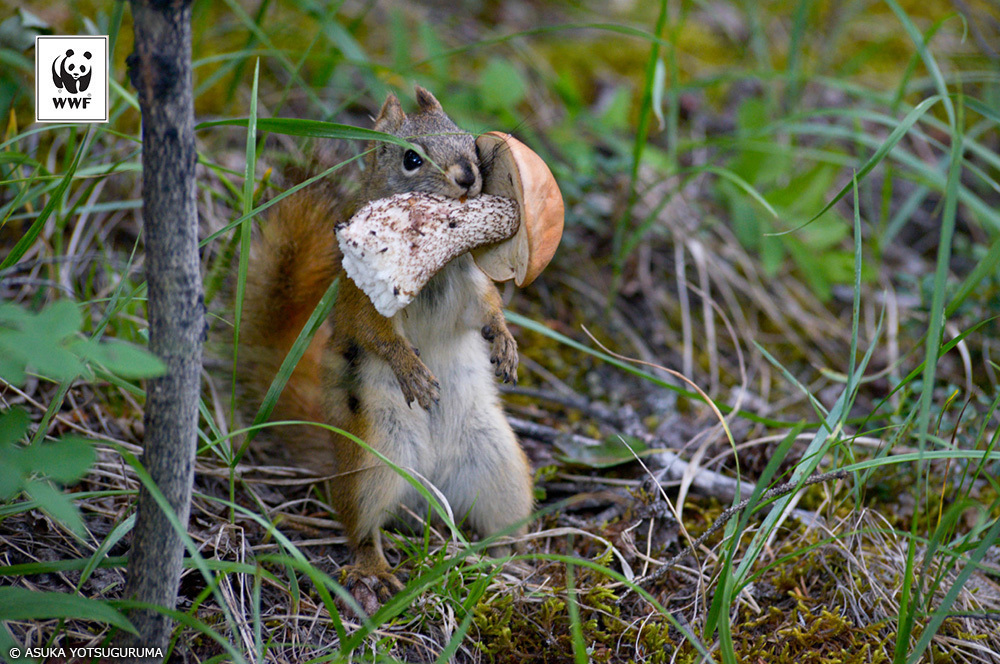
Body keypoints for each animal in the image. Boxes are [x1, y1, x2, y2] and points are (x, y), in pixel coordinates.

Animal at [238, 87, 536, 600]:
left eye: (469, 140)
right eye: (411, 159)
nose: (467, 176)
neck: (436, 262)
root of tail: (429, 490)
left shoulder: (470, 285)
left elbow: (487, 308)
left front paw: (505, 342)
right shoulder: (363, 297)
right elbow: (374, 334)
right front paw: (411, 370)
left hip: (501, 469)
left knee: (501, 522)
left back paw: (506, 562)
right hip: (374, 461)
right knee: (361, 525)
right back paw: (373, 569)